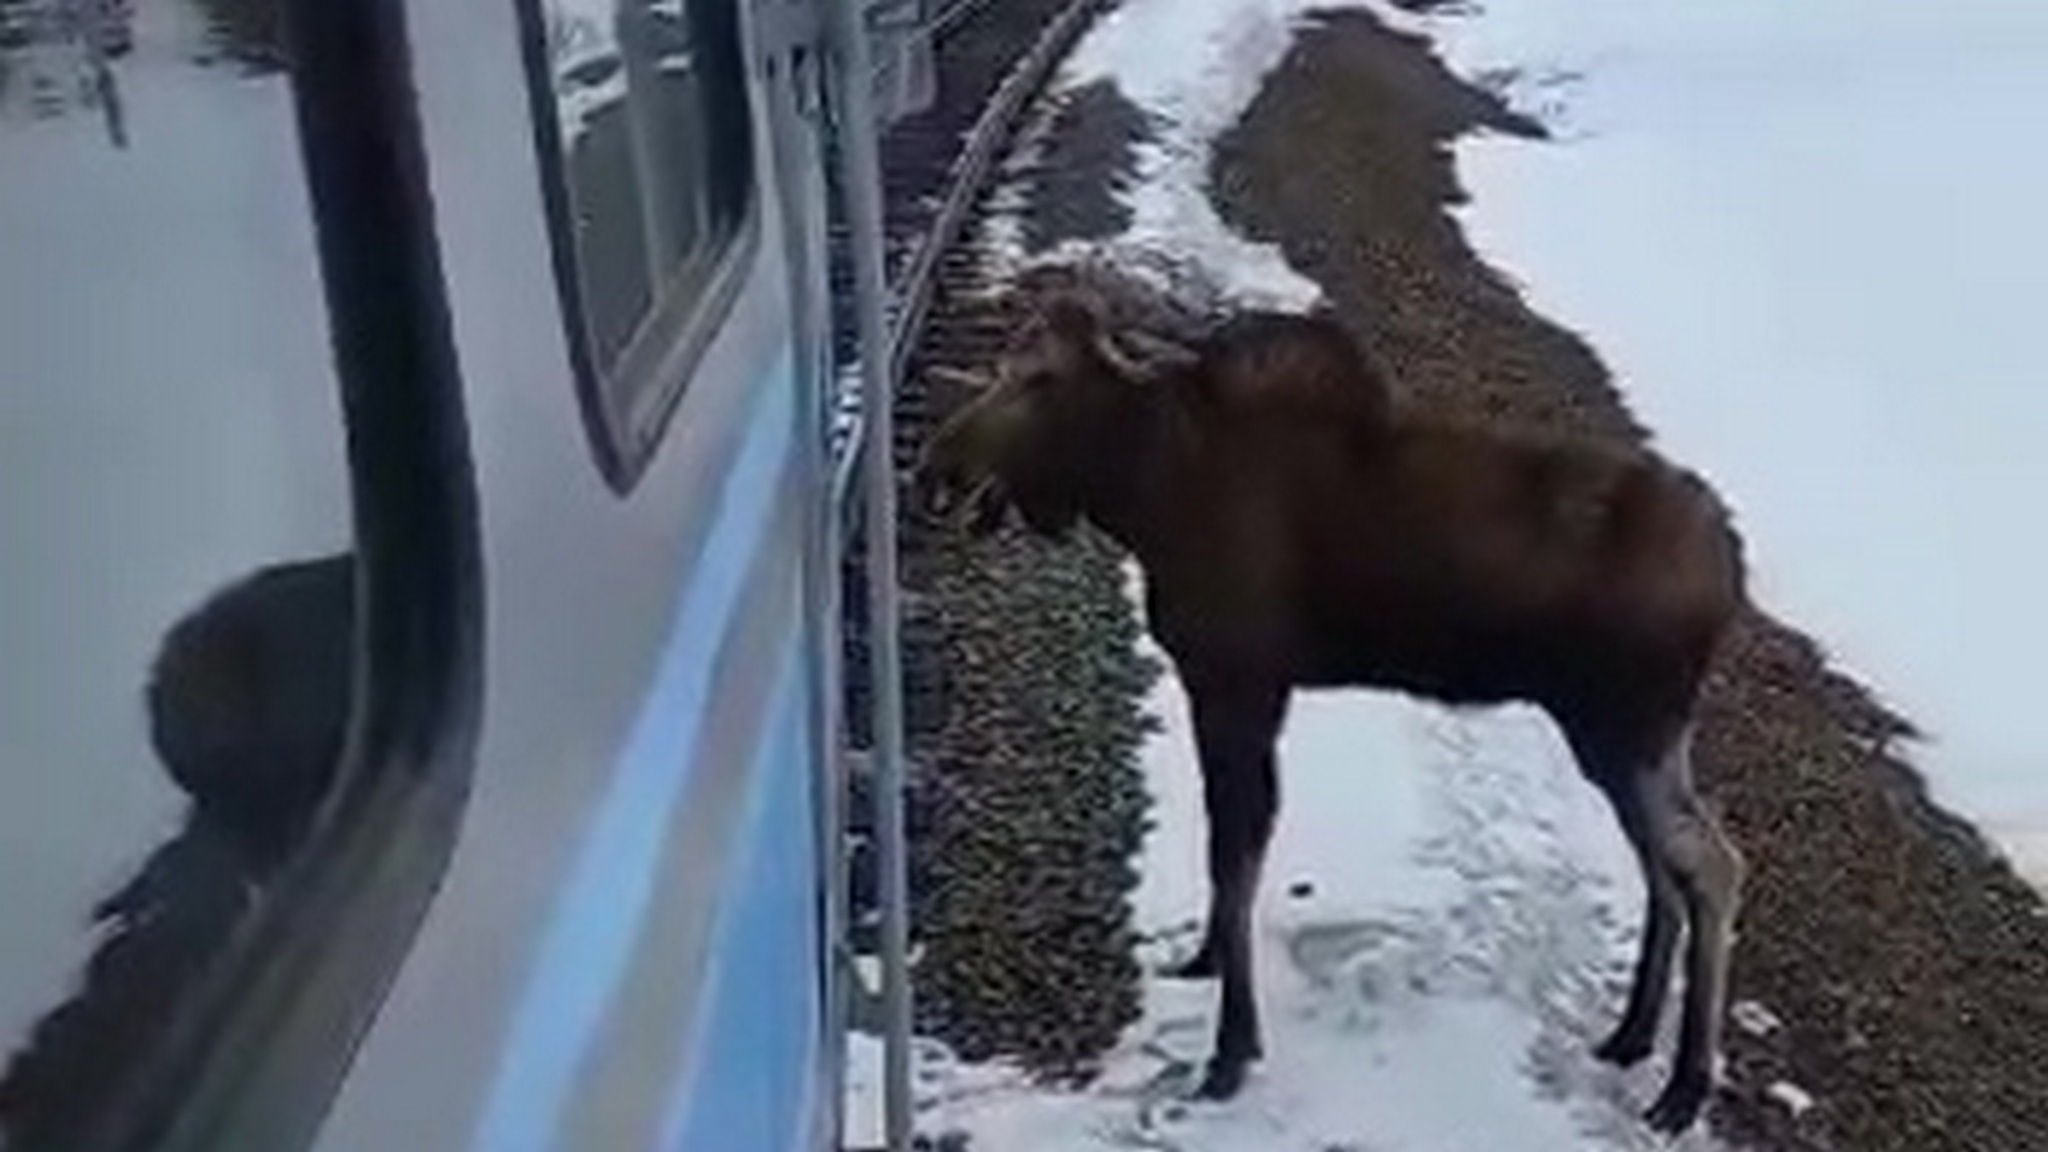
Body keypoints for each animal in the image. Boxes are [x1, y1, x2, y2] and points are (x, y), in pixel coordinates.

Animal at [916, 281, 1748, 1136]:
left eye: (1040, 377)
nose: (936, 469)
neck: (1145, 495)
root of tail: (1732, 566)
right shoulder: (1228, 688)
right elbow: (1225, 847)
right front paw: (1204, 964)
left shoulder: (1240, 682)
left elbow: (1237, 856)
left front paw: (1230, 1052)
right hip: (1624, 737)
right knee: (1666, 867)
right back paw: (1631, 1034)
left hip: (1627, 725)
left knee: (1713, 866)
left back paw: (1684, 1086)